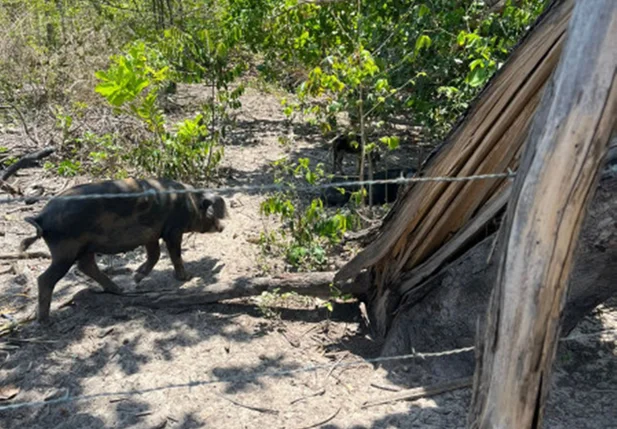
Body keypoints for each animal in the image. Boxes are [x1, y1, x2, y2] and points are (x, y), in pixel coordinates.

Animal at [19, 176, 227, 320]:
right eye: (209, 211)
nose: (223, 227)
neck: (189, 202)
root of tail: (41, 217)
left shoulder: (151, 234)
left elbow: (154, 255)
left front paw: (136, 277)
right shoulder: (173, 231)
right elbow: (174, 254)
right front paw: (187, 277)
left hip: (84, 247)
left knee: (86, 266)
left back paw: (118, 289)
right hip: (65, 251)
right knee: (45, 278)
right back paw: (45, 321)